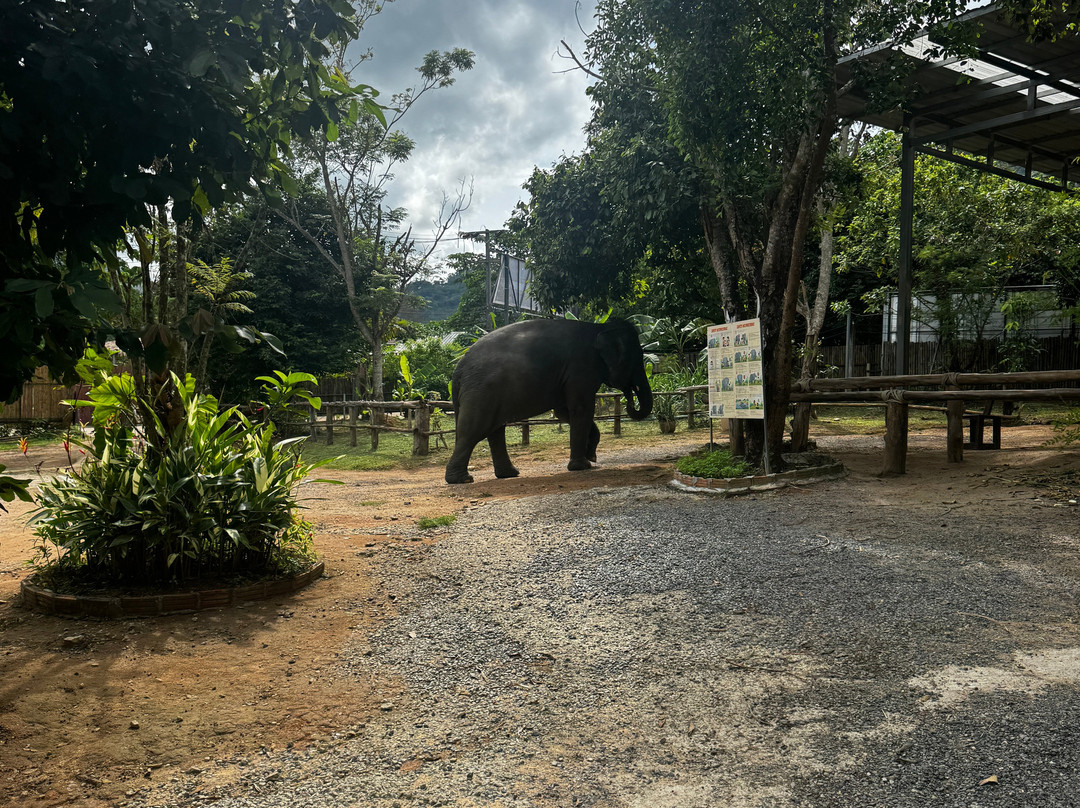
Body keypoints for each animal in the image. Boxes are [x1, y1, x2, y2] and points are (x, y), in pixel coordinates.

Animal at [445, 318, 653, 484]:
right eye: (637, 359)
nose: (630, 399)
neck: (599, 328)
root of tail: (458, 370)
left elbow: (564, 412)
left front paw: (591, 456)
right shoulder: (581, 368)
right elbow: (581, 408)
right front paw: (583, 466)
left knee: (494, 430)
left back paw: (509, 474)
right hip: (482, 393)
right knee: (474, 430)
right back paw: (462, 480)